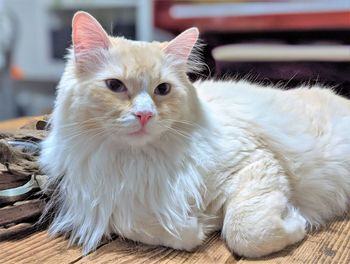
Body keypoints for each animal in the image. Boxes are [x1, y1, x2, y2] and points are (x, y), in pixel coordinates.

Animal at [39, 11, 350, 258]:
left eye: (163, 89)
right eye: (115, 86)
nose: (145, 115)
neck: (140, 160)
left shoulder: (254, 161)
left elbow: (245, 231)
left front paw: (296, 225)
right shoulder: (109, 202)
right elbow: (145, 226)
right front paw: (197, 226)